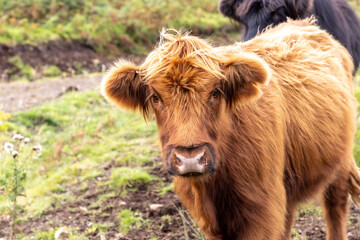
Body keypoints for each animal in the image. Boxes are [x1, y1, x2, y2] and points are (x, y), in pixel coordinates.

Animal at [102, 19, 360, 240]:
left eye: (215, 92)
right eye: (155, 97)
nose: (190, 158)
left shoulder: (262, 211)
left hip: (340, 163)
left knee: (335, 207)